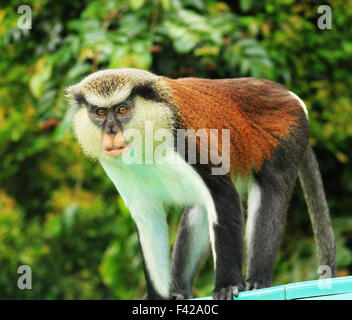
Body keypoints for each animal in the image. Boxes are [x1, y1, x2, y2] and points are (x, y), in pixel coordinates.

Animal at [65, 68, 336, 300]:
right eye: (100, 113)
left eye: (122, 109)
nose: (110, 132)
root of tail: (292, 97)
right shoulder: (116, 168)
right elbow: (148, 221)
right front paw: (156, 297)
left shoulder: (186, 142)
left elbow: (222, 194)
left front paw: (227, 285)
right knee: (198, 212)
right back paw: (180, 290)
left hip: (287, 137)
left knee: (270, 195)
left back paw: (257, 281)